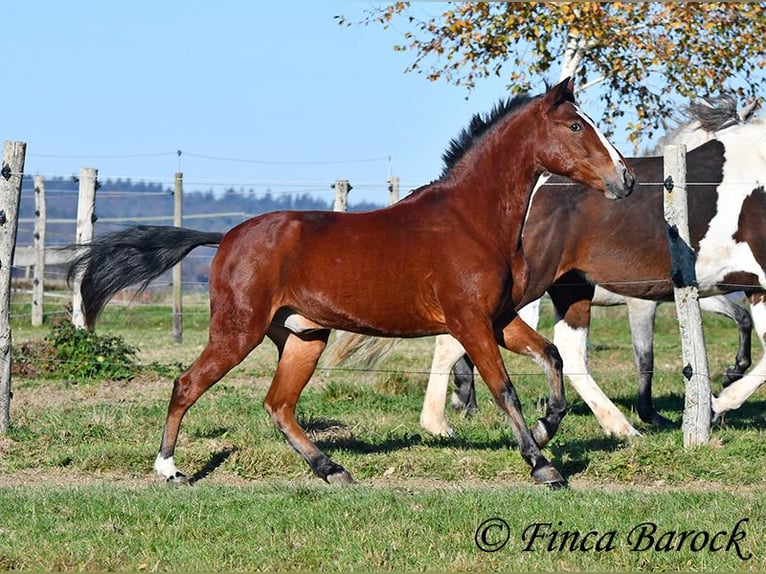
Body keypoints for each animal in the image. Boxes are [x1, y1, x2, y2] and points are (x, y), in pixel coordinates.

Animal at [64, 79, 636, 488]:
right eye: (577, 127)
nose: (626, 180)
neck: (471, 219)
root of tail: (226, 236)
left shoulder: (497, 319)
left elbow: (552, 358)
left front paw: (545, 430)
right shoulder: (469, 321)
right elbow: (505, 388)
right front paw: (543, 465)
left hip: (303, 337)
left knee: (278, 405)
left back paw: (332, 469)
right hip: (238, 330)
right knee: (188, 385)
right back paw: (169, 469)